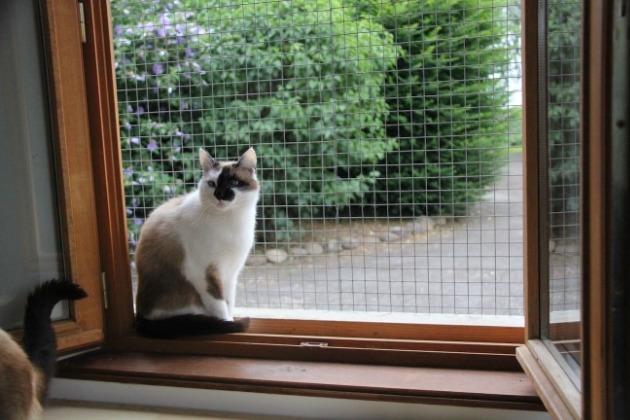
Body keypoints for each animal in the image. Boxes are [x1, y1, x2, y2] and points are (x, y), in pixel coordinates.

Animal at [135, 148, 260, 338]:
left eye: (234, 182)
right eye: (212, 184)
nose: (219, 195)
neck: (230, 221)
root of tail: (140, 316)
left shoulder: (230, 273)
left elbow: (229, 302)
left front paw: (230, 319)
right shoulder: (204, 273)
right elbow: (220, 305)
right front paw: (228, 324)